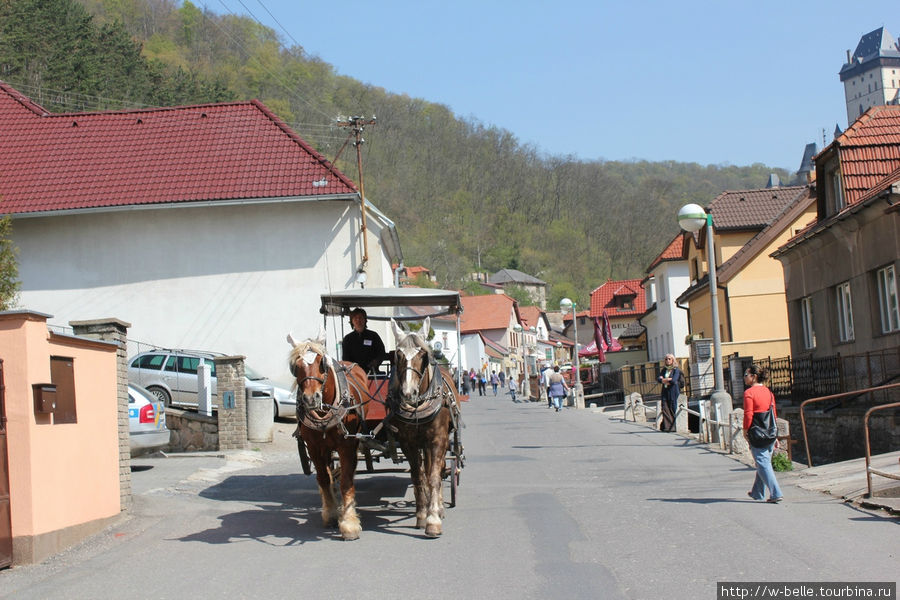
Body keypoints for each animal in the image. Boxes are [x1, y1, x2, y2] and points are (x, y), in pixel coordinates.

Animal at [292, 336, 370, 540]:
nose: (311, 398)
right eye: (296, 366)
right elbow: (324, 478)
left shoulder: (347, 446)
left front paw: (349, 523)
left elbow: (346, 482)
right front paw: (332, 513)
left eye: (322, 363)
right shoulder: (314, 448)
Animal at [388, 316, 460, 536]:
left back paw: (439, 507)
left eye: (423, 355)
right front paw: (421, 515)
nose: (408, 393)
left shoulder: (437, 440)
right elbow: (418, 476)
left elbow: (434, 476)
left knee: (439, 468)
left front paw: (433, 519)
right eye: (398, 355)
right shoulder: (408, 443)